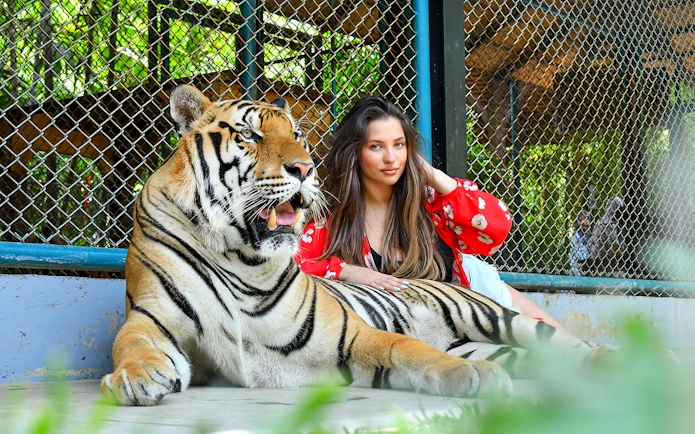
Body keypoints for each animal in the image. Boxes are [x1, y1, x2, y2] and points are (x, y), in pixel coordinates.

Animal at [101, 84, 614, 406]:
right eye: (249, 134)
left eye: (297, 134)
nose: (304, 169)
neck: (239, 254)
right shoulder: (151, 317)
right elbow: (131, 344)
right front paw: (138, 377)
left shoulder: (353, 335)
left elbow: (412, 349)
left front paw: (474, 380)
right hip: (487, 343)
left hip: (497, 318)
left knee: (569, 344)